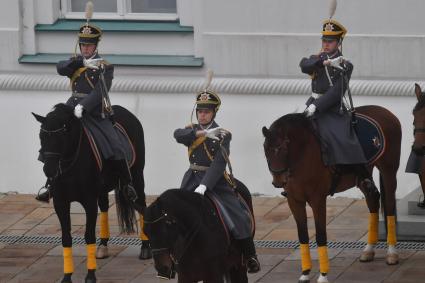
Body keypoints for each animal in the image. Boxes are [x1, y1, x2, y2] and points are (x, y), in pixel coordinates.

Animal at [33, 104, 152, 283]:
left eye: (61, 136)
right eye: (42, 136)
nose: (49, 170)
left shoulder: (89, 201)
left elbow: (89, 236)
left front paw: (90, 275)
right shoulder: (61, 203)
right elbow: (66, 238)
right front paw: (67, 276)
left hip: (137, 176)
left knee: (141, 203)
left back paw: (145, 248)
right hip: (102, 189)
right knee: (104, 207)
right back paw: (103, 245)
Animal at [262, 106, 400, 283]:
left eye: (284, 147)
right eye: (266, 149)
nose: (278, 180)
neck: (302, 154)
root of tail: (385, 111)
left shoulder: (318, 200)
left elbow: (321, 235)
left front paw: (323, 275)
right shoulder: (294, 201)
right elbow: (303, 235)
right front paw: (305, 273)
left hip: (389, 171)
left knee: (389, 206)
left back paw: (392, 252)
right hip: (365, 174)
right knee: (373, 200)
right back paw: (369, 250)